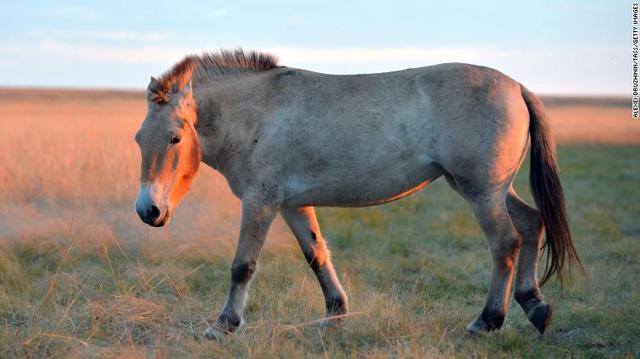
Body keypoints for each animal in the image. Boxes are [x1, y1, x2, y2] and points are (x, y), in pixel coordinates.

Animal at [136, 49, 584, 342]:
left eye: (175, 138)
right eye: (140, 139)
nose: (148, 211)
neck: (259, 112)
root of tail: (517, 87)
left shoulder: (260, 202)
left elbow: (242, 266)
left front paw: (223, 325)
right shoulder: (293, 205)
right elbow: (317, 256)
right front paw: (336, 313)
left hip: (481, 192)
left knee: (506, 243)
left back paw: (488, 321)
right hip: (490, 189)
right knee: (531, 223)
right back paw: (534, 305)